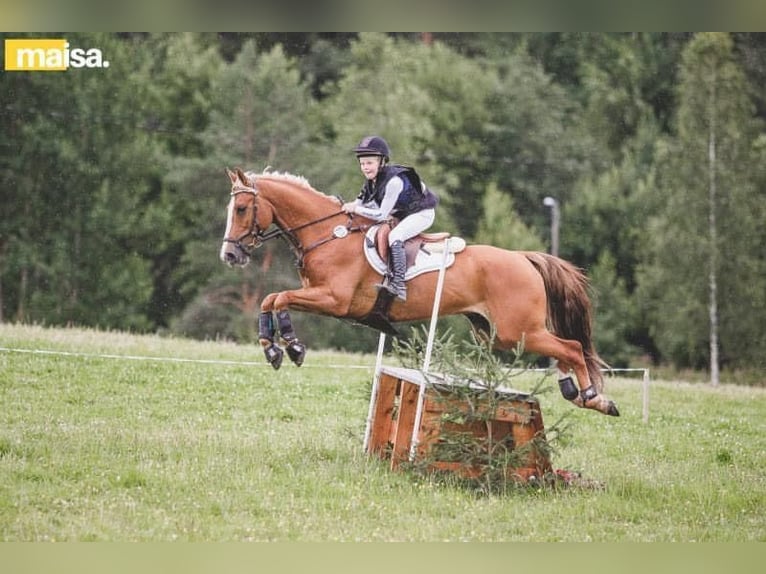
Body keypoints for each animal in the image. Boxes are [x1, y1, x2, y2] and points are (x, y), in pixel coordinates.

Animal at [219, 168, 620, 418]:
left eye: (242, 208)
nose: (230, 255)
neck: (329, 234)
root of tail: (523, 258)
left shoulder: (334, 299)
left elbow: (281, 298)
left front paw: (291, 346)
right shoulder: (318, 295)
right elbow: (269, 299)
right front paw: (272, 348)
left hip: (517, 329)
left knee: (571, 347)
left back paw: (594, 398)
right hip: (498, 333)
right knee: (564, 350)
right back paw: (574, 390)